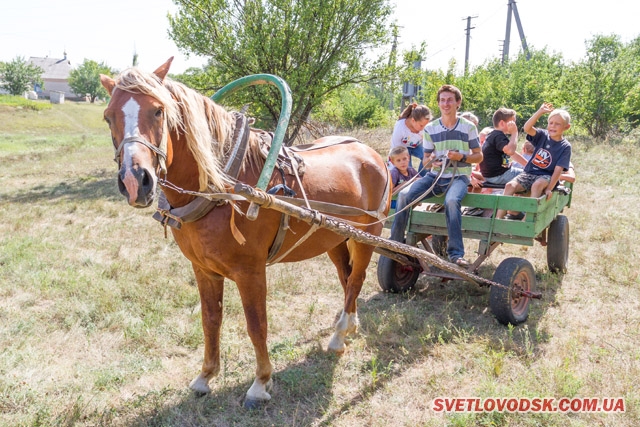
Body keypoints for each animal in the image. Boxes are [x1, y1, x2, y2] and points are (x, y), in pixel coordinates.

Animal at [100, 57, 390, 408]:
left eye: (158, 110)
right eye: (108, 116)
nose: (134, 180)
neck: (225, 186)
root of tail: (370, 153)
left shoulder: (250, 271)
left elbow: (256, 325)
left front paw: (260, 382)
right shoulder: (204, 269)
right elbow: (211, 320)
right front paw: (205, 376)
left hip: (368, 235)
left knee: (357, 279)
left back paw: (338, 335)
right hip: (333, 238)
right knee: (346, 279)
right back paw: (348, 327)